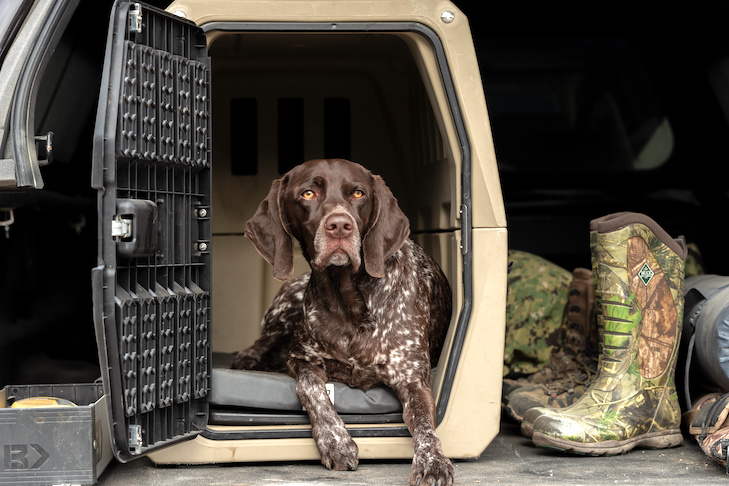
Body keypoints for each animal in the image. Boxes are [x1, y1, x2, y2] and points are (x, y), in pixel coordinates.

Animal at [230, 159, 452, 482]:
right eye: (308, 193)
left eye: (358, 193)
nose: (339, 226)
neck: (347, 300)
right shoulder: (300, 359)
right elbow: (312, 389)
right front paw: (335, 441)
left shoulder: (413, 380)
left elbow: (425, 426)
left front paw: (433, 461)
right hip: (287, 306)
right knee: (264, 340)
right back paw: (249, 358)